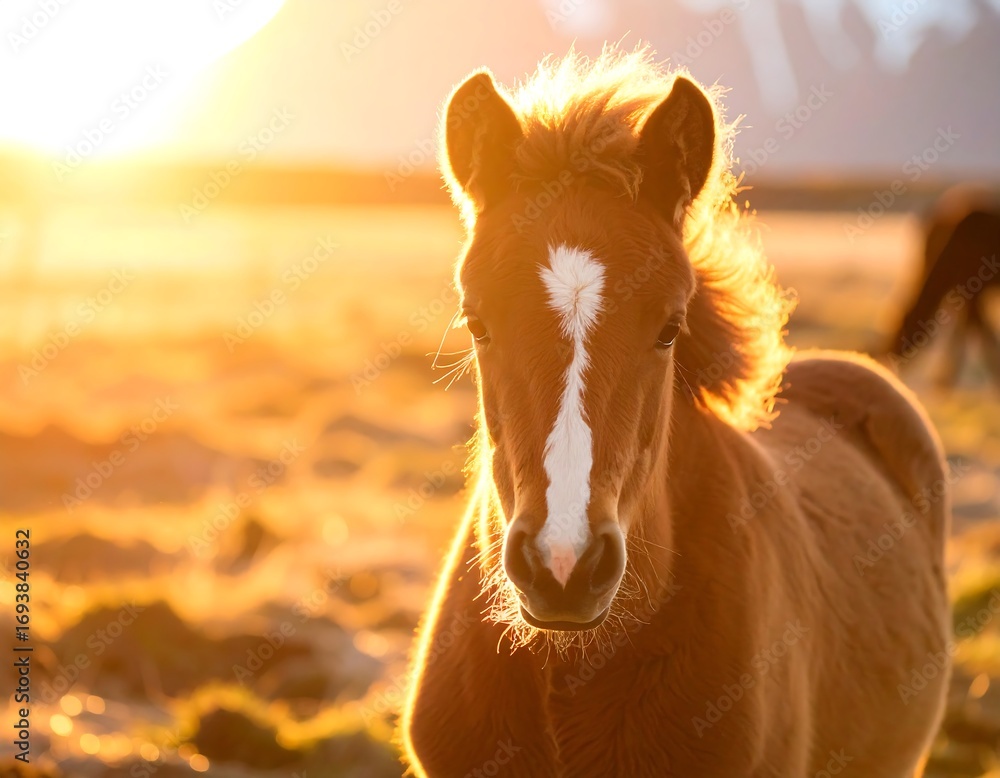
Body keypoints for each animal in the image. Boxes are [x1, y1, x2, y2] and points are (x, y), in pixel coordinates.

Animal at [885, 185, 1000, 387]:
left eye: (899, 331)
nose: (890, 361)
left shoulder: (974, 289)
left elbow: (980, 332)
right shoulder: (965, 290)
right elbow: (967, 329)